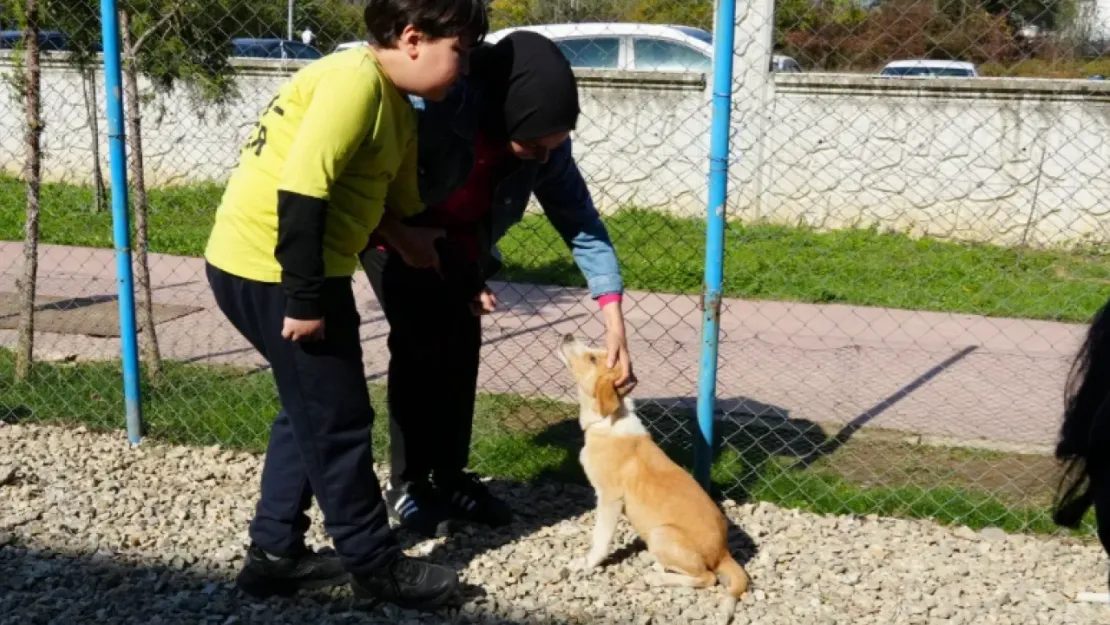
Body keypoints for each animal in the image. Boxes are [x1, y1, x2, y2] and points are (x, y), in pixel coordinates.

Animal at [559, 333, 750, 621]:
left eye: (592, 358)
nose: (568, 335)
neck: (607, 419)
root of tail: (724, 553)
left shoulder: (610, 498)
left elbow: (600, 538)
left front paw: (586, 563)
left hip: (663, 533)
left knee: (708, 578)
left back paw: (657, 577)